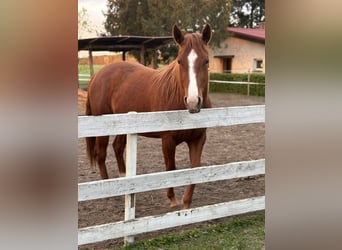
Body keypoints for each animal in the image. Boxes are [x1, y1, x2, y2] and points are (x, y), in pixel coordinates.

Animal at [85, 24, 211, 210]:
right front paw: (172, 199)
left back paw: (123, 177)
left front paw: (186, 204)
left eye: (206, 61)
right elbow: (171, 168)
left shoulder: (198, 139)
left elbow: (195, 169)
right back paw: (108, 188)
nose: (193, 102)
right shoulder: (168, 141)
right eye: (179, 61)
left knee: (117, 147)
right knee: (100, 153)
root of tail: (97, 76)